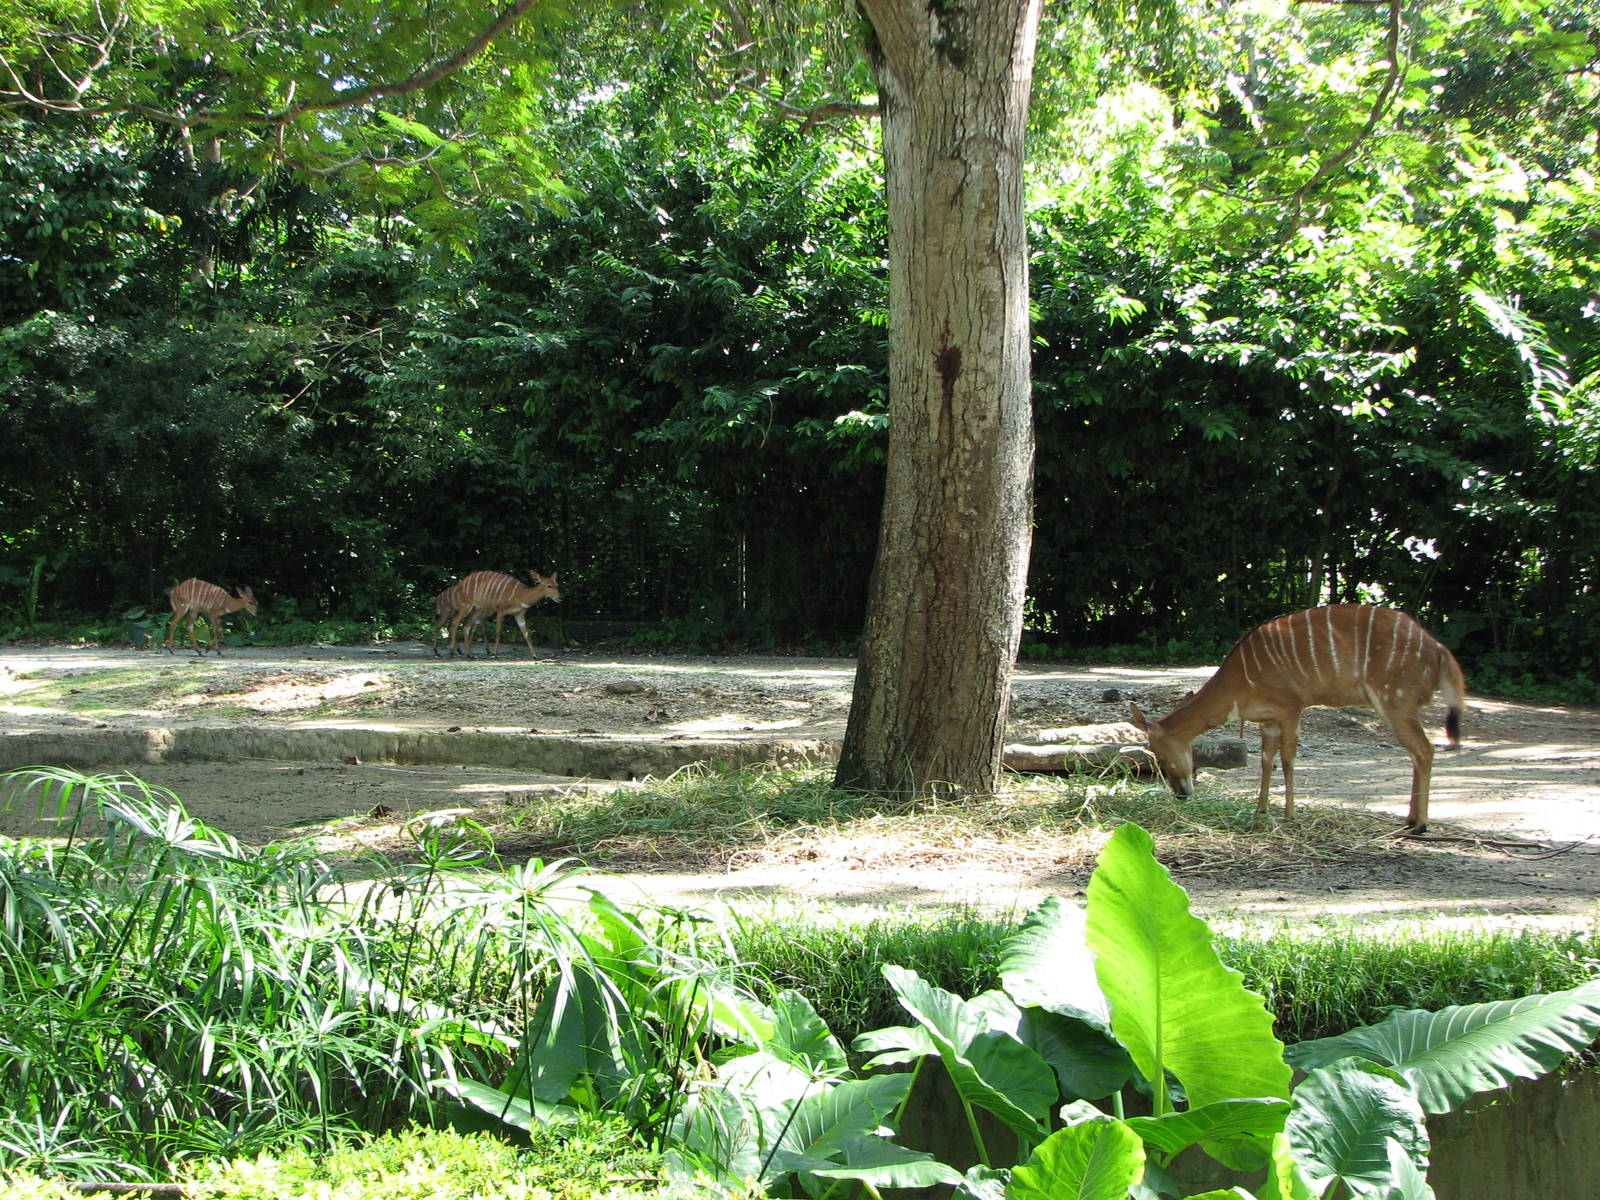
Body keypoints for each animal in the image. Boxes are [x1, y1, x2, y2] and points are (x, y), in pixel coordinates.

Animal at [1128, 604, 1466, 832]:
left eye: (1159, 756)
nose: (1182, 794)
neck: (1240, 681)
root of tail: (1439, 650)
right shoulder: (1268, 720)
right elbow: (1266, 761)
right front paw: (1261, 810)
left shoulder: (1291, 707)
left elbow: (1288, 759)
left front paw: (1290, 816)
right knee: (1416, 753)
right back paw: (1410, 820)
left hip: (1396, 701)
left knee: (1424, 750)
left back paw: (1420, 825)